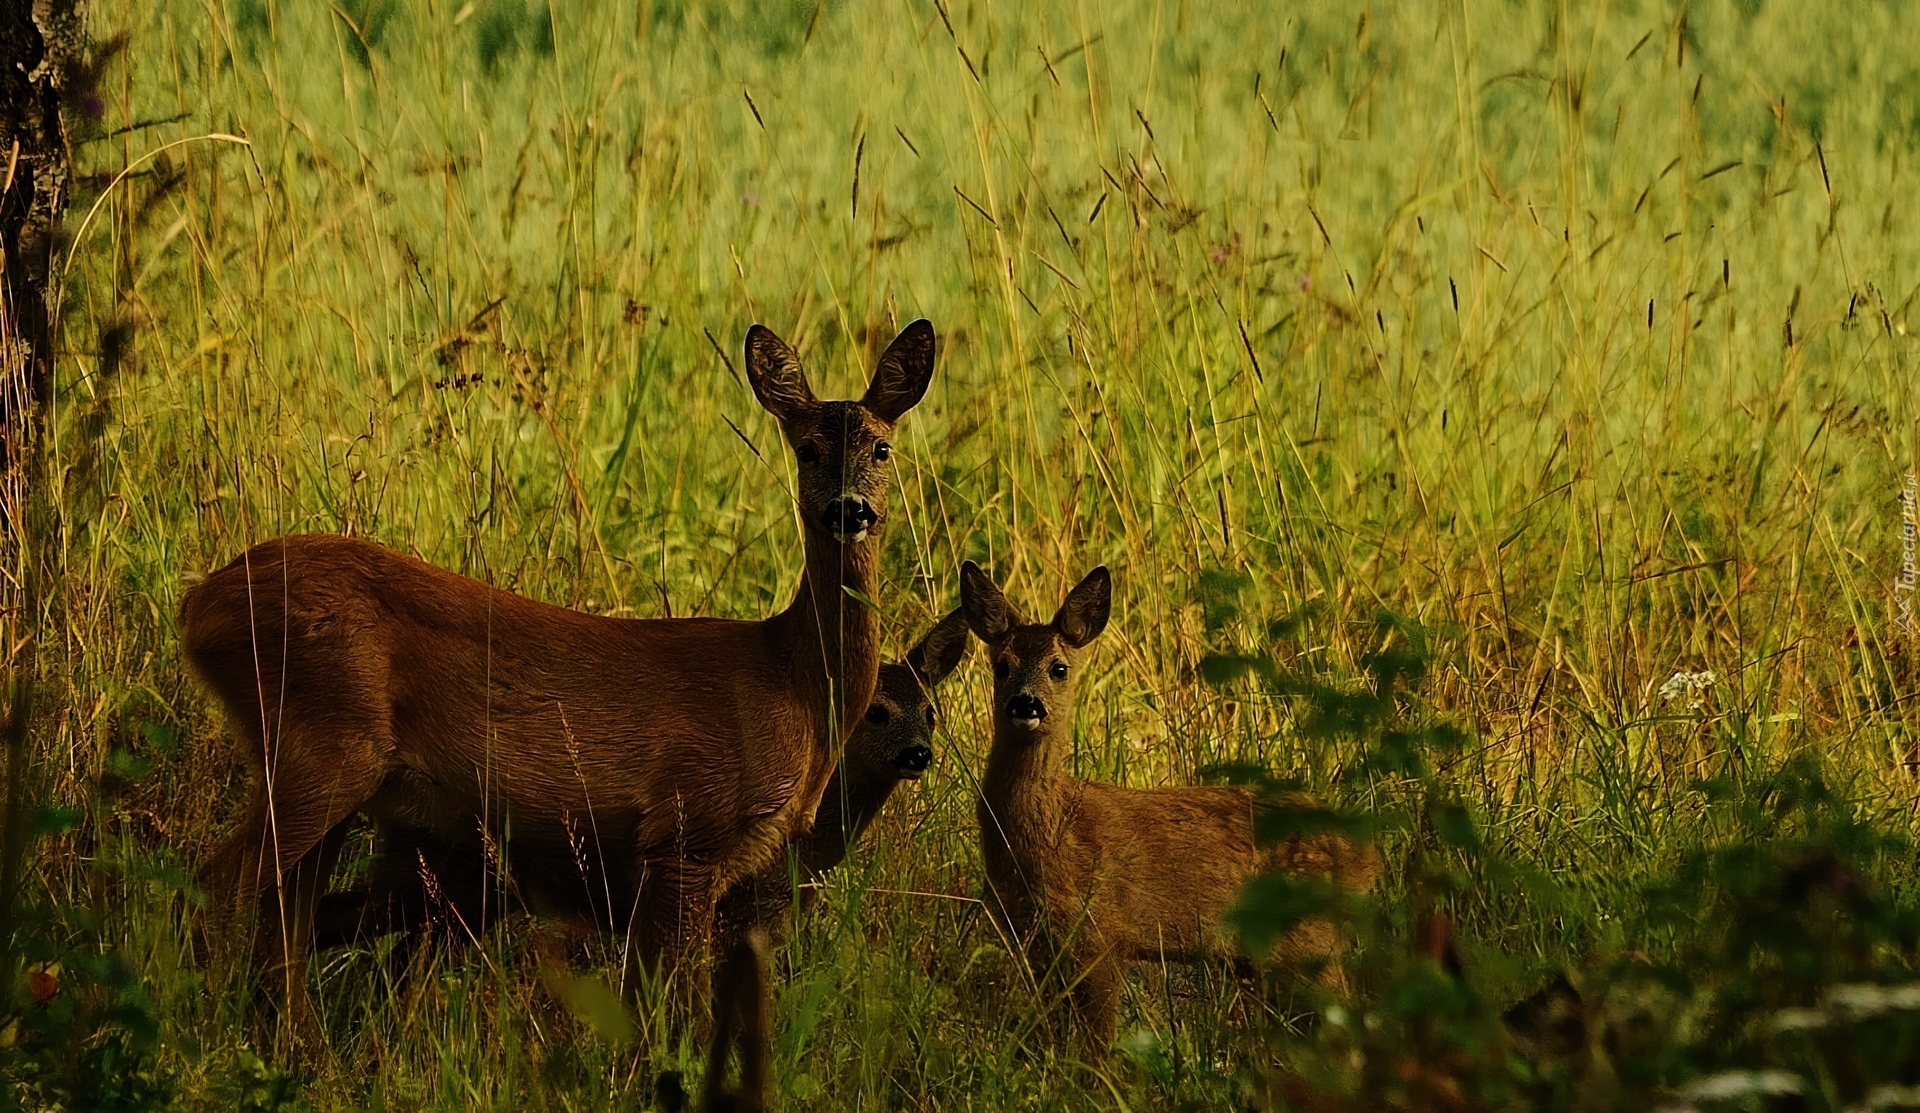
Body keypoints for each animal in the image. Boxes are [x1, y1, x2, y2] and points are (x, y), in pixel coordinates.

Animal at [180, 316, 936, 1028]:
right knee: (215, 889)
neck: (791, 685)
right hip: (326, 744)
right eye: (807, 448)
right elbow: (670, 1003)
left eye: (882, 447)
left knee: (285, 923)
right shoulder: (686, 829)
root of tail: (199, 606)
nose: (849, 509)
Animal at [967, 560, 1374, 1051]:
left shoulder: (1102, 933)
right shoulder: (1031, 940)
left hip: (1310, 938)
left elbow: (1097, 1043)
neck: (1056, 829)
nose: (1025, 704)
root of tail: (1366, 856)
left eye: (1058, 668)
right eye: (1001, 666)